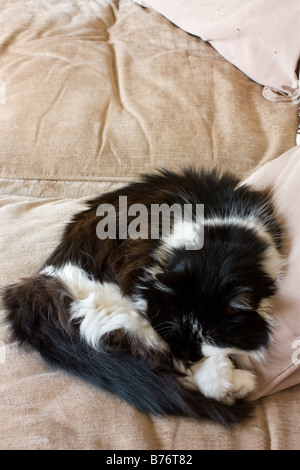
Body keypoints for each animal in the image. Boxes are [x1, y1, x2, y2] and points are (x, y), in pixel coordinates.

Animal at [2, 168, 284, 426]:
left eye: (210, 335)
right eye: (178, 329)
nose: (188, 355)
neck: (219, 235)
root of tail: (37, 283)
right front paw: (223, 377)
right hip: (118, 311)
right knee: (166, 366)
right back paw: (236, 384)